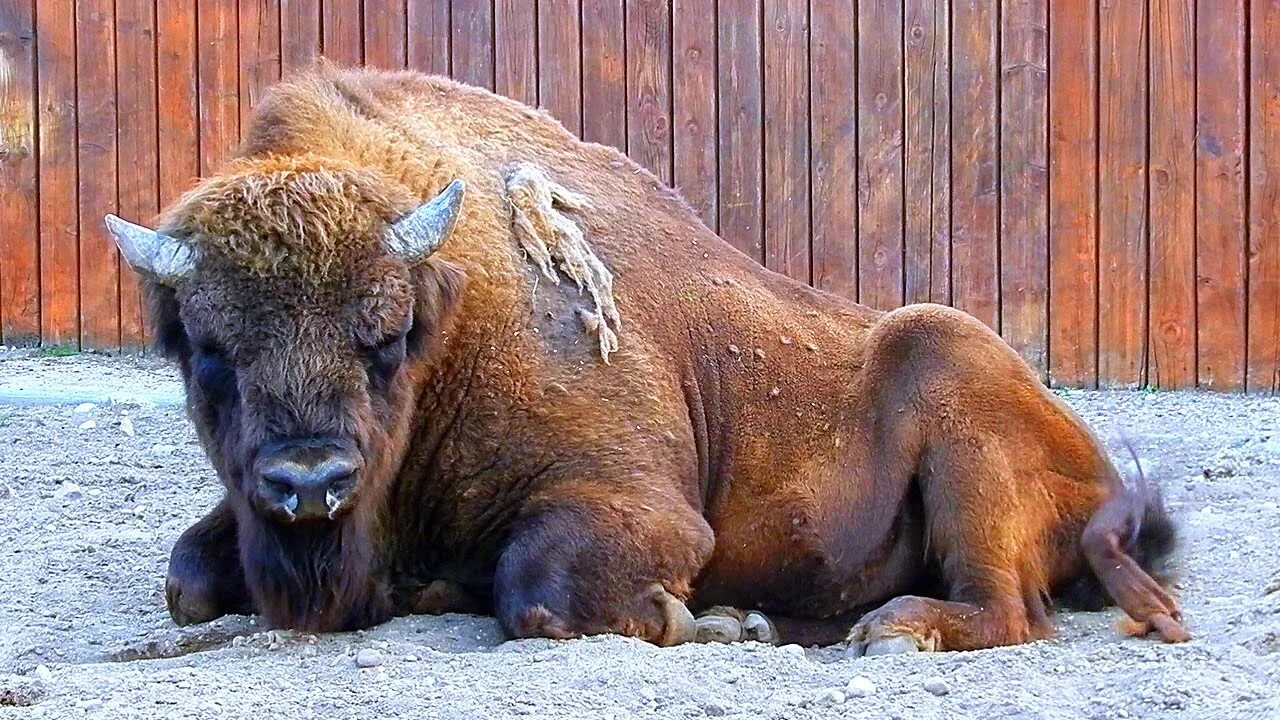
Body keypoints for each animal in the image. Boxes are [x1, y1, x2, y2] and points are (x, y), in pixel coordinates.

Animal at [102, 63, 1187, 650]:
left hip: (953, 391)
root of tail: (1101, 477)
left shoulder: (637, 504)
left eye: (385, 339)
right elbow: (187, 578)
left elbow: (540, 589)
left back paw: (889, 629)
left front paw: (694, 619)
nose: (308, 481)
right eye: (206, 350)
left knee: (1007, 610)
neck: (458, 309)